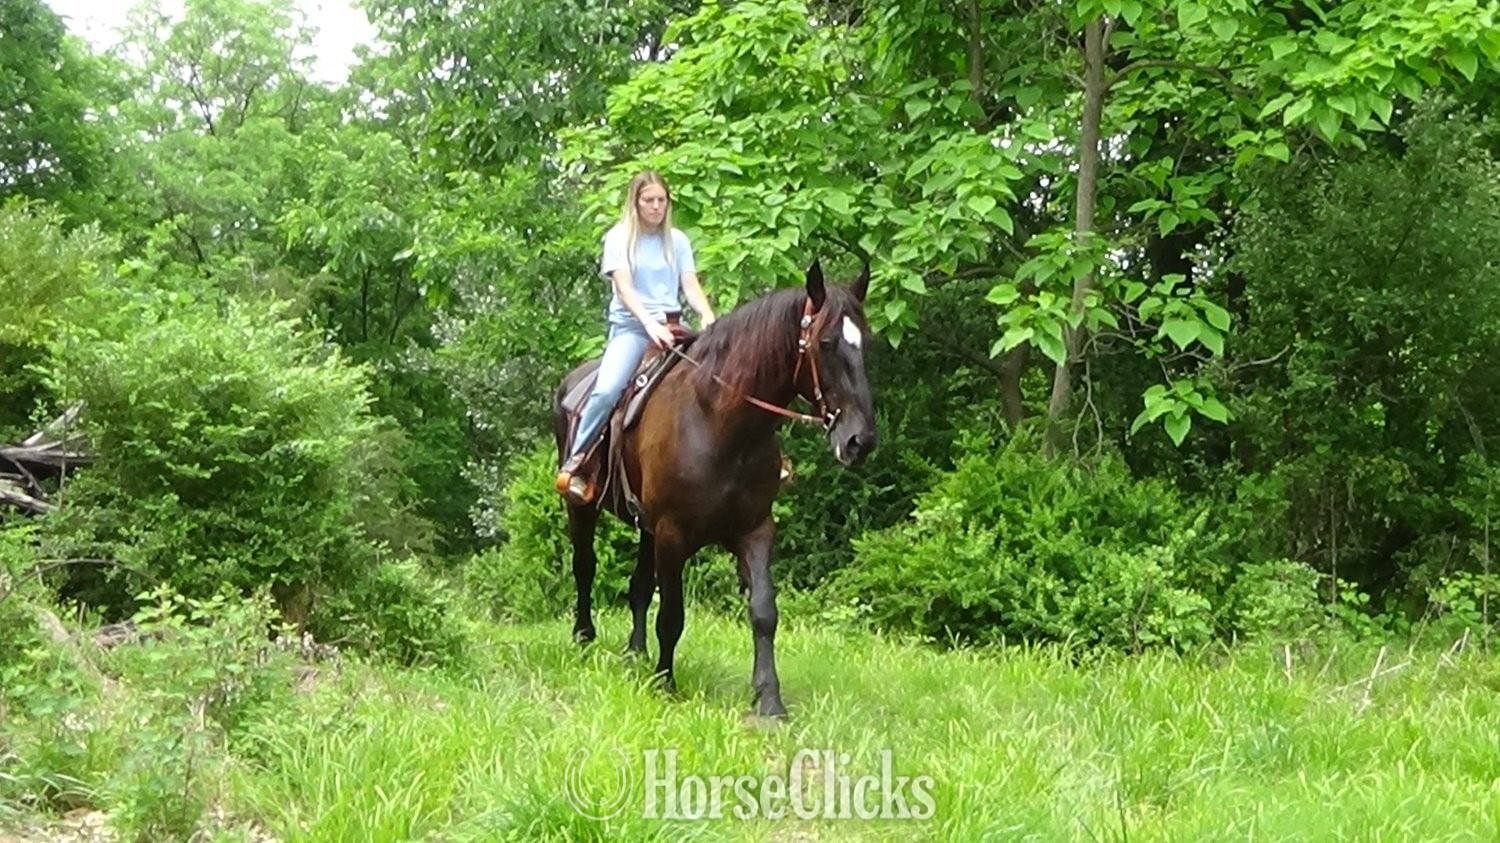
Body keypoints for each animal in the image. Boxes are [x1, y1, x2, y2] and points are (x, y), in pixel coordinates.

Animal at [552, 260, 877, 717]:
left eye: (865, 341)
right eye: (826, 342)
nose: (859, 441)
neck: (720, 422)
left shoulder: (754, 531)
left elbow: (763, 612)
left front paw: (769, 699)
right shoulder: (672, 534)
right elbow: (671, 615)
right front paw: (665, 683)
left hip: (646, 527)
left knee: (638, 585)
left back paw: (635, 653)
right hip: (582, 508)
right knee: (585, 567)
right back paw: (583, 638)